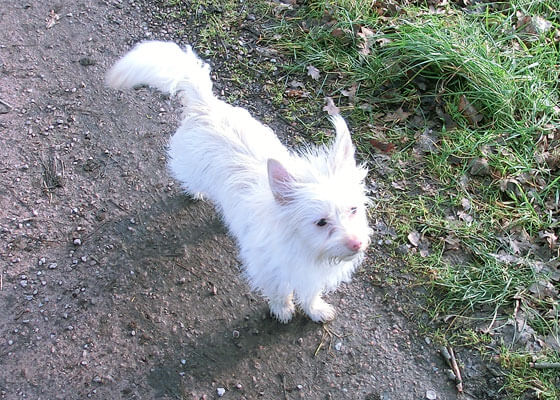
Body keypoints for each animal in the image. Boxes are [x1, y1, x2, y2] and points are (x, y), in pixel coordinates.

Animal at [107, 41, 374, 322]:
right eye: (321, 222)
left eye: (353, 209)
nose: (356, 243)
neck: (306, 249)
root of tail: (206, 105)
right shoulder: (269, 268)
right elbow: (279, 290)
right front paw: (283, 309)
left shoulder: (310, 274)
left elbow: (311, 293)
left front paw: (316, 309)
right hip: (190, 167)